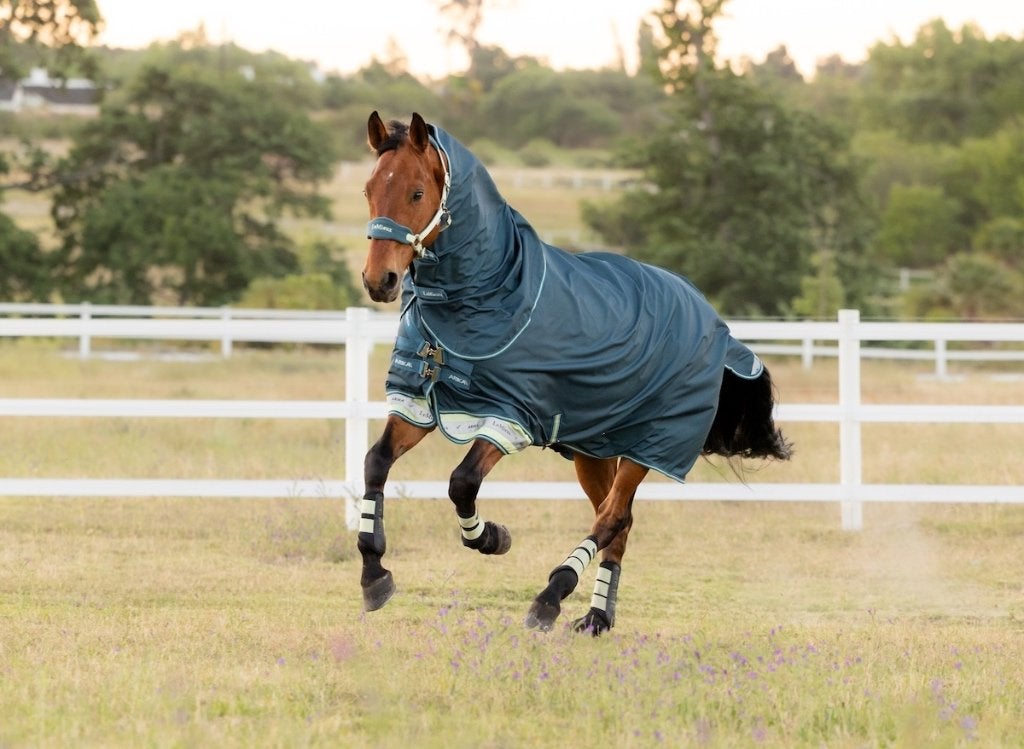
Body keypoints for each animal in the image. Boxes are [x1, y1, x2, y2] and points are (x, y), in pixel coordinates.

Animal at [358, 111, 792, 634]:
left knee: (610, 520)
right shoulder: (419, 404)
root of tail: (713, 320)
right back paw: (596, 617)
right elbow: (376, 462)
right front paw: (374, 574)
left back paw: (551, 596)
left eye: (417, 193)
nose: (379, 281)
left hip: (648, 446)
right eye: (368, 190)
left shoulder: (510, 416)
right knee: (619, 523)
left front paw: (492, 537)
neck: (493, 294)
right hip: (595, 448)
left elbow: (461, 482)